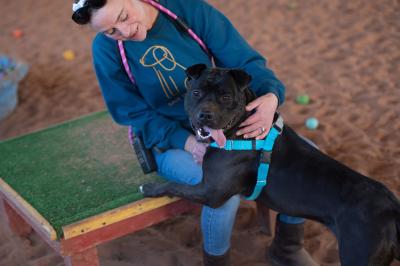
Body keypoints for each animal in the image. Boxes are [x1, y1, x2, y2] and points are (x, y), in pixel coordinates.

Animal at [139, 64, 398, 266]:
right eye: (196, 92)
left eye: (225, 97)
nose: (205, 115)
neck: (239, 131)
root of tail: (392, 209)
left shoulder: (211, 192)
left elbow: (174, 186)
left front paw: (150, 188)